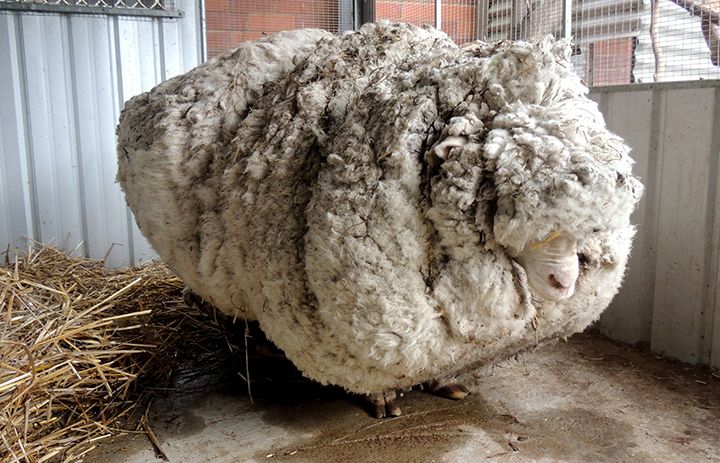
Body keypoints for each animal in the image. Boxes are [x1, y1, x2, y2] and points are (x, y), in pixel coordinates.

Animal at [117, 22, 643, 417]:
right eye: (502, 195)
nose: (564, 283)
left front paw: (446, 384)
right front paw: (383, 399)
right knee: (230, 312)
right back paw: (251, 354)